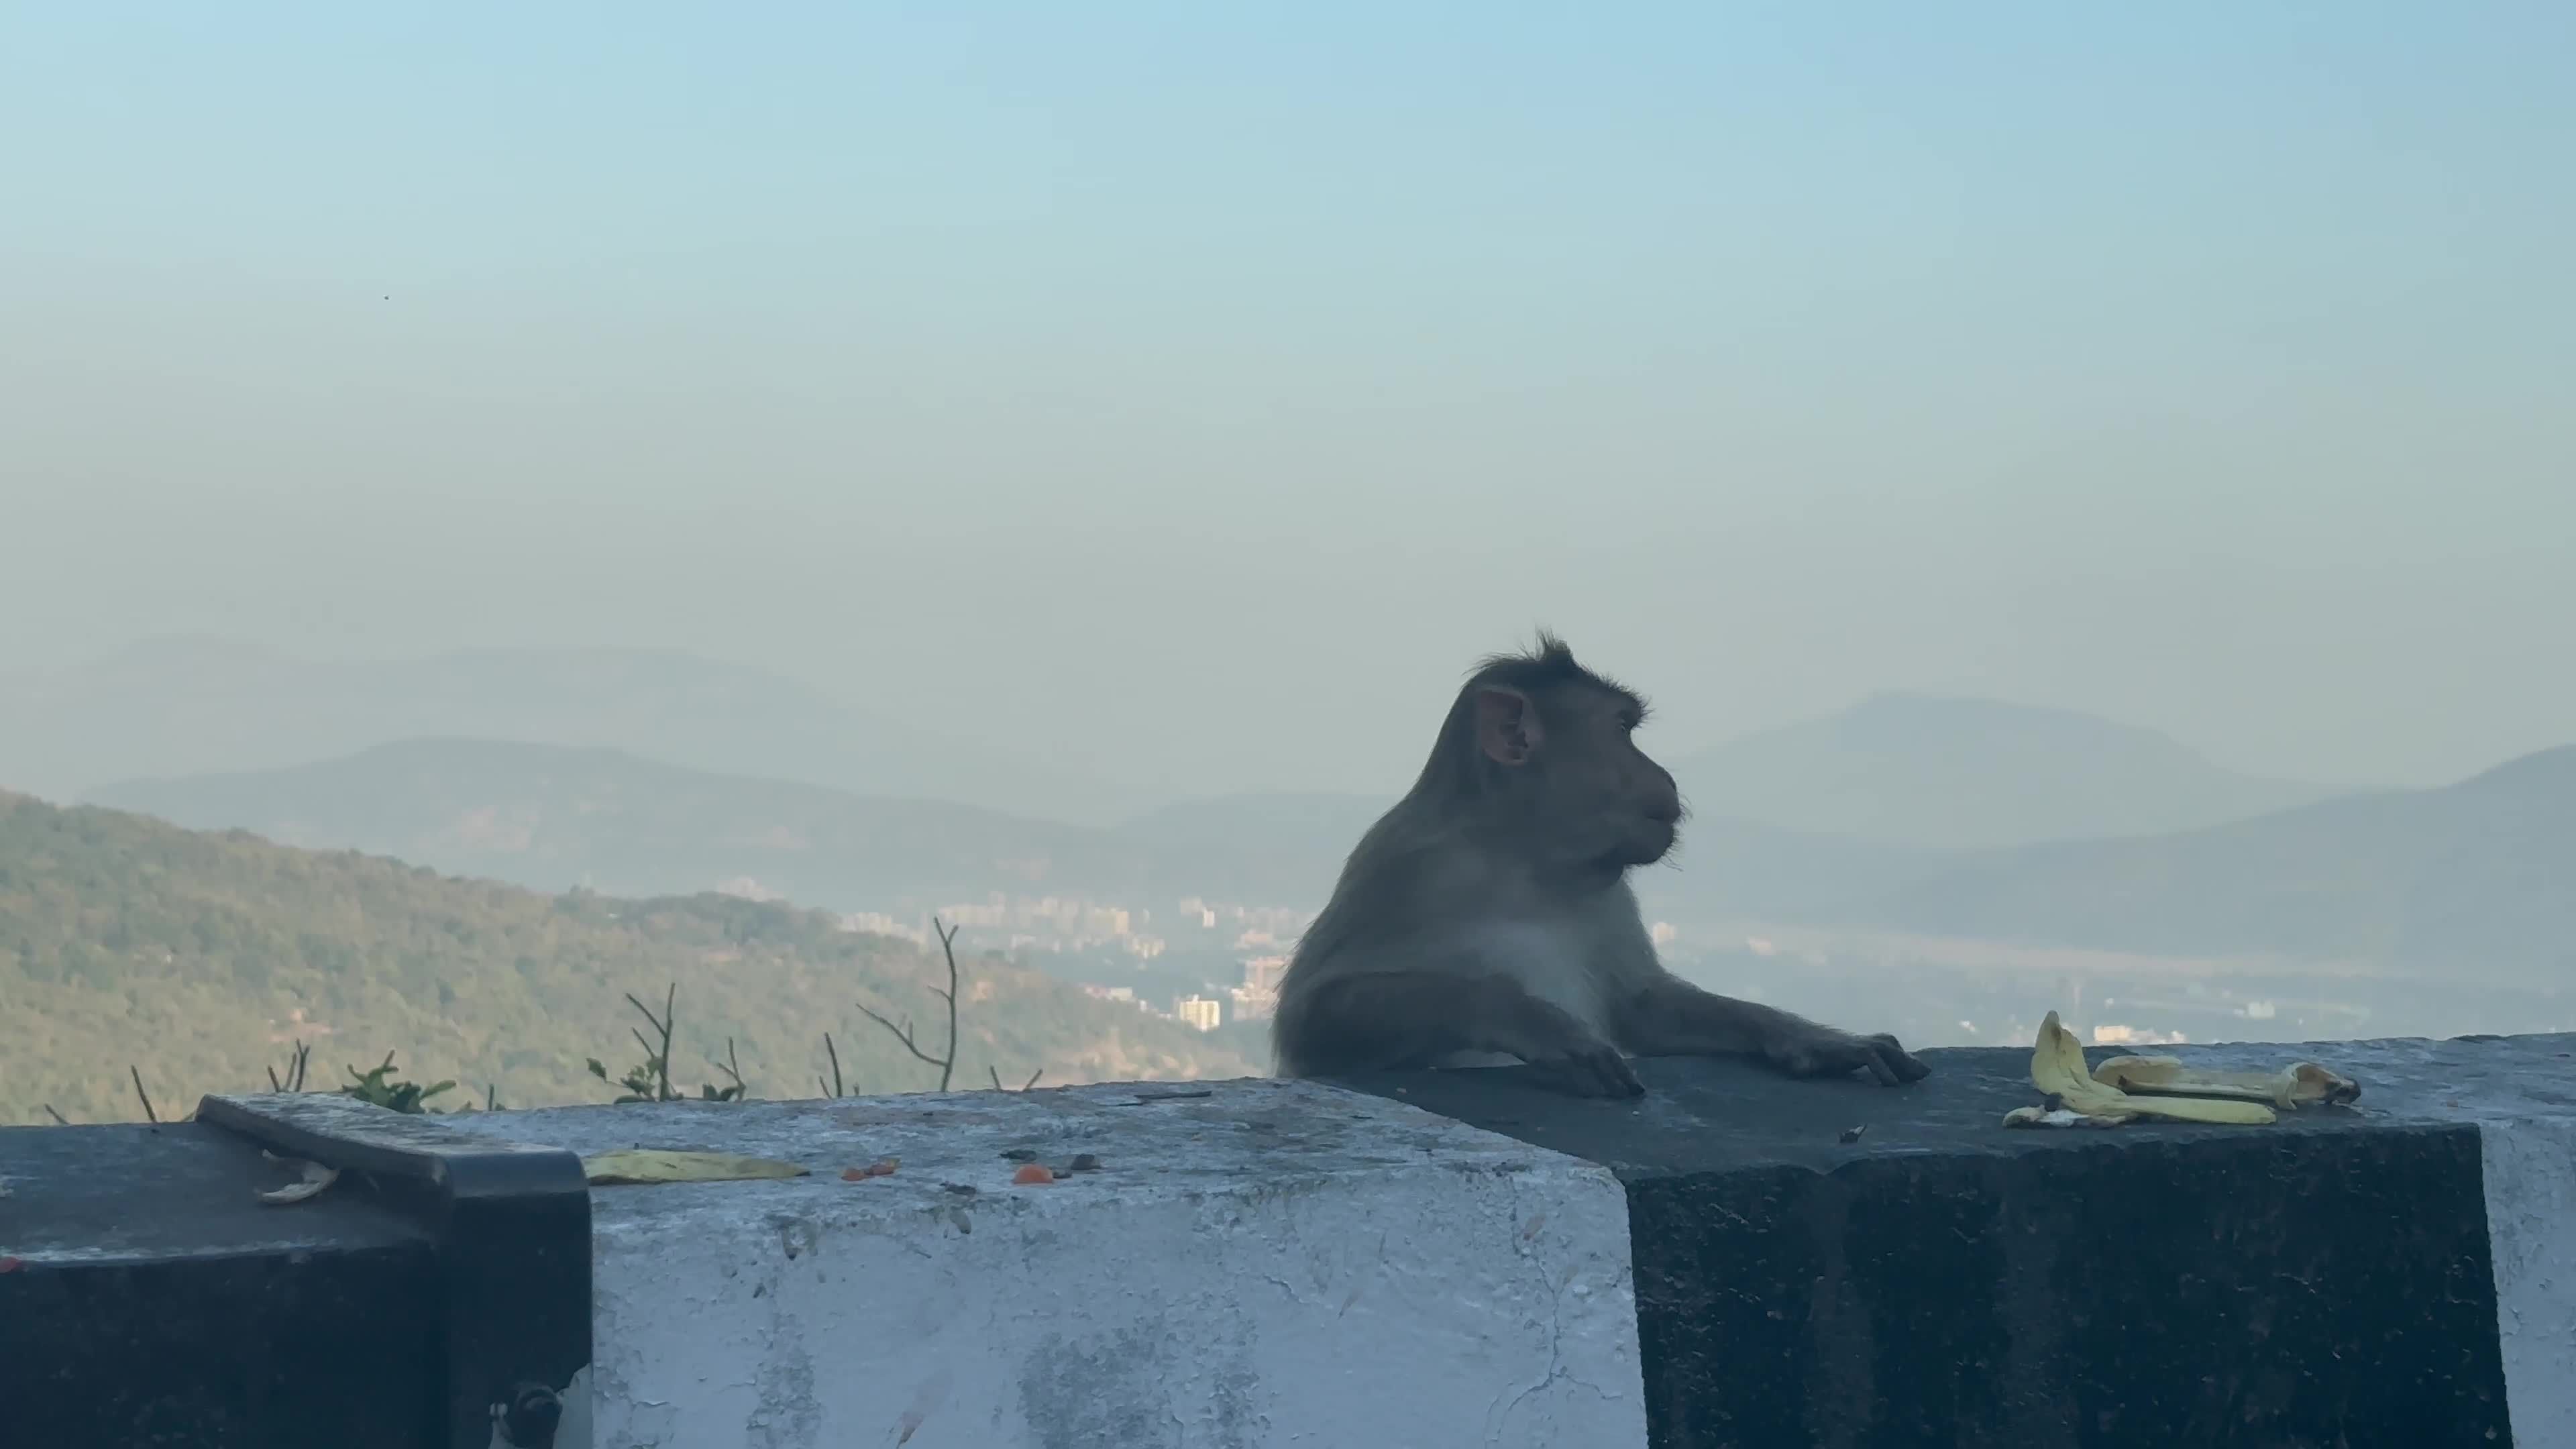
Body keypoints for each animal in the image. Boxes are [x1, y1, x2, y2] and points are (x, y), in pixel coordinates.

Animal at [1272, 634, 1929, 1098]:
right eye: (1621, 729)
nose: (1666, 775)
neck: (1525, 863)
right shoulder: (1407, 867)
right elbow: (1312, 1015)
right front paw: (1533, 1020)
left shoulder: (1610, 892)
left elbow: (1642, 1004)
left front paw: (1816, 1039)